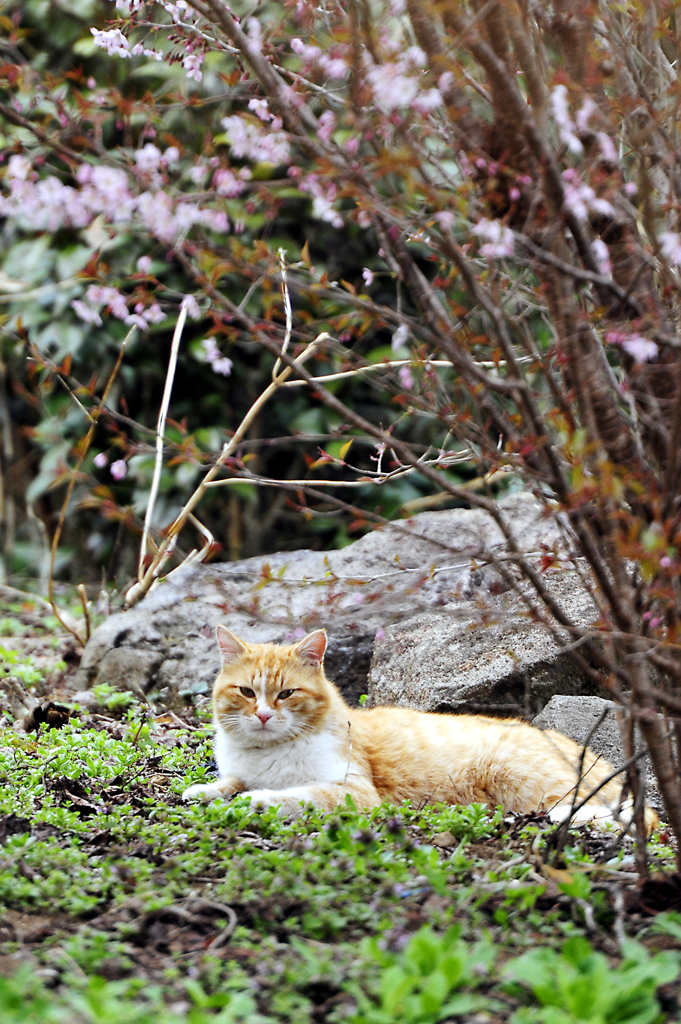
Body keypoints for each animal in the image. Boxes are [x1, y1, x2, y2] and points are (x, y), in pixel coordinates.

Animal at [183, 622, 655, 831]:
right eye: (247, 692)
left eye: (286, 694)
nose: (263, 715)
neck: (266, 754)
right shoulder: (240, 770)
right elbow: (229, 782)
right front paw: (203, 791)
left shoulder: (354, 792)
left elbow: (293, 796)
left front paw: (257, 800)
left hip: (522, 777)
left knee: (629, 816)